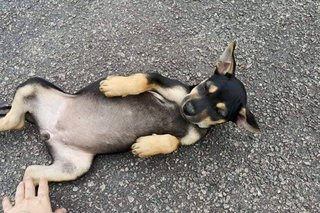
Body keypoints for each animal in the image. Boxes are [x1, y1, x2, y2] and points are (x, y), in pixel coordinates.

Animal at [0, 41, 258, 183]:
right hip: (34, 84)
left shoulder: (190, 138)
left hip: (73, 167)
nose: (188, 108)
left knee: (30, 170)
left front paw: (146, 146)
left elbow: (172, 142)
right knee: (14, 117)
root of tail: (46, 131)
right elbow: (141, 79)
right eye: (206, 87)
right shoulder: (163, 82)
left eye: (219, 112)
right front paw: (115, 86)